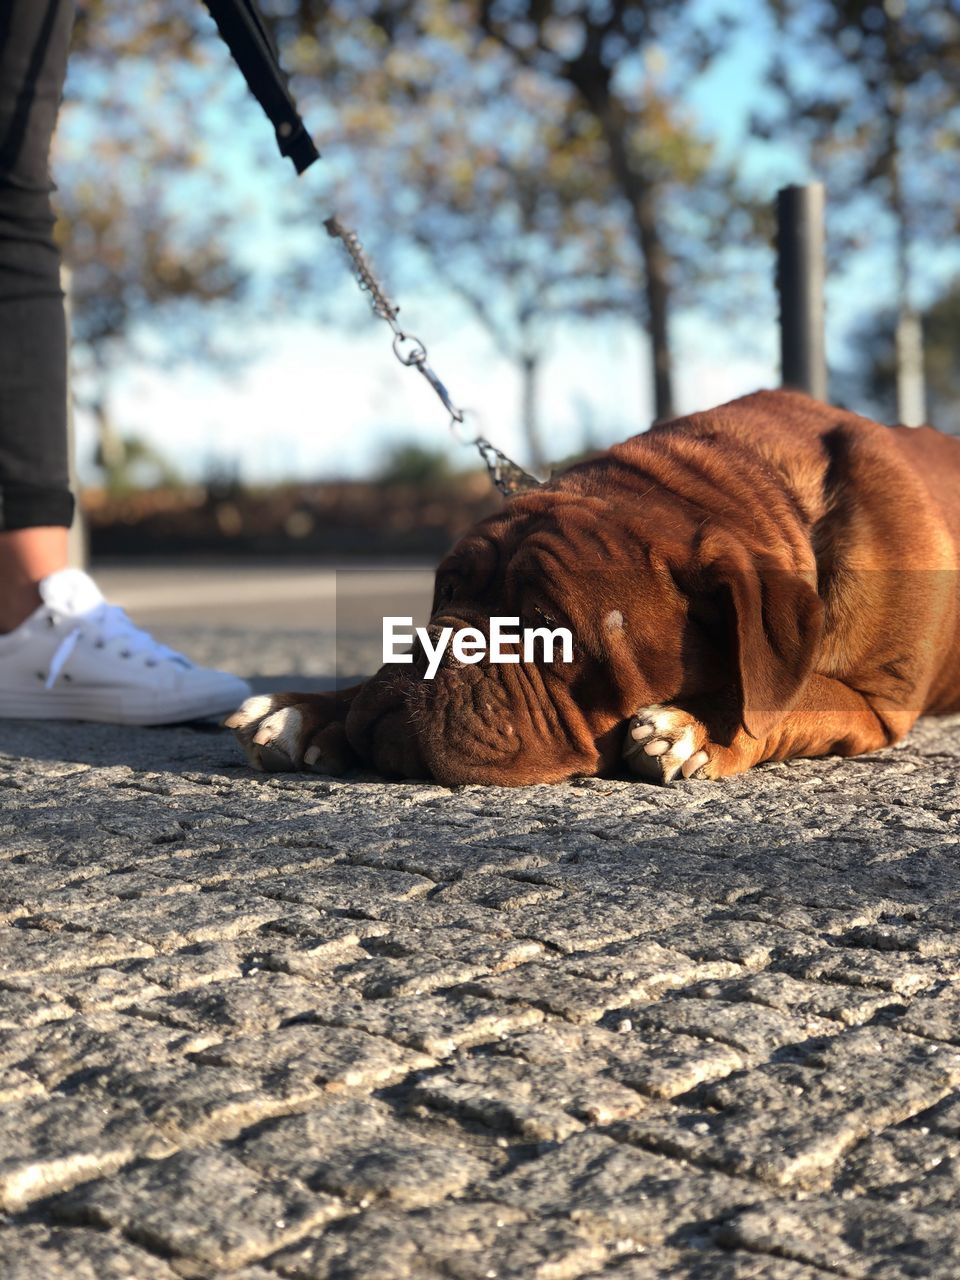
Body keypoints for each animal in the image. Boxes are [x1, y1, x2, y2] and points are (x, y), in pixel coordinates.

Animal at [227, 389, 960, 783]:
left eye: (550, 628)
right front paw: (301, 709)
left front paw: (693, 727)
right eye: (446, 593)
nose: (431, 647)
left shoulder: (877, 705)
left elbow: (794, 695)